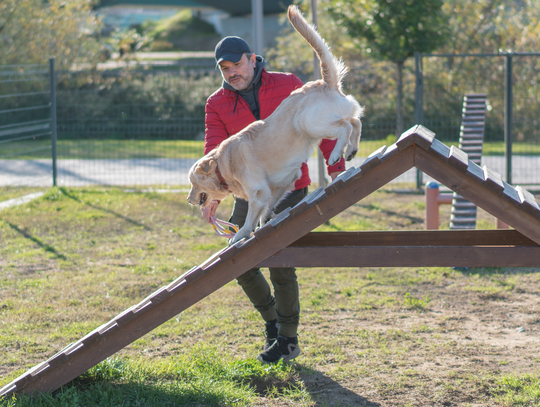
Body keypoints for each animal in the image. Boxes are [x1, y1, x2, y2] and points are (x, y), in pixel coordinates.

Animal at [188, 4, 364, 244]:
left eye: (194, 184)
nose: (189, 200)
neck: (223, 165)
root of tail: (323, 82)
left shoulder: (258, 191)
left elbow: (250, 218)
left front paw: (240, 235)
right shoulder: (285, 181)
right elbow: (268, 208)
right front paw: (265, 222)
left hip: (308, 123)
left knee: (345, 126)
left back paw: (337, 154)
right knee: (355, 121)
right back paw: (352, 149)